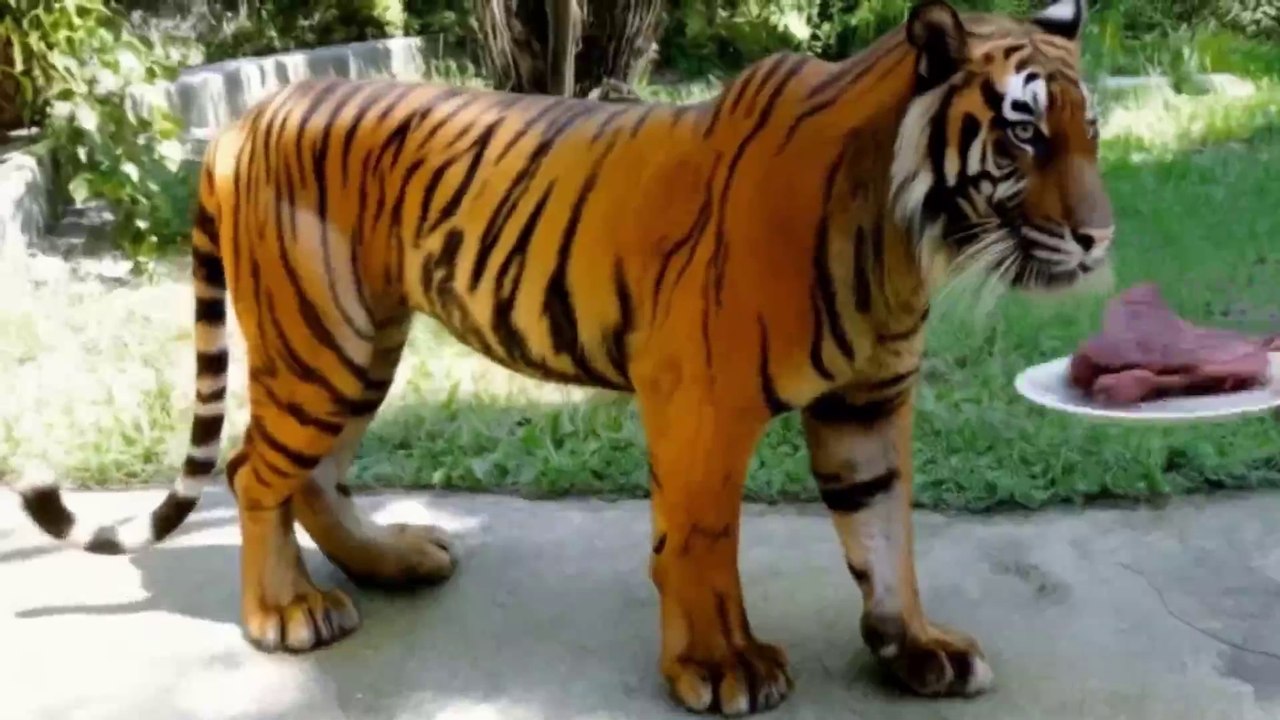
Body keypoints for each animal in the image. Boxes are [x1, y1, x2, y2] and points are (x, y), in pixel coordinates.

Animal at [13, 0, 1114, 715]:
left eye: (1090, 131)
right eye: (1022, 135)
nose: (1100, 238)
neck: (903, 238)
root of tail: (244, 118)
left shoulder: (867, 402)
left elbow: (885, 537)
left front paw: (913, 648)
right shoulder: (700, 395)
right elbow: (700, 540)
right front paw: (721, 666)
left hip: (363, 344)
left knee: (309, 474)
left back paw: (395, 561)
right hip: (320, 338)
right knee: (254, 470)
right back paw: (285, 612)